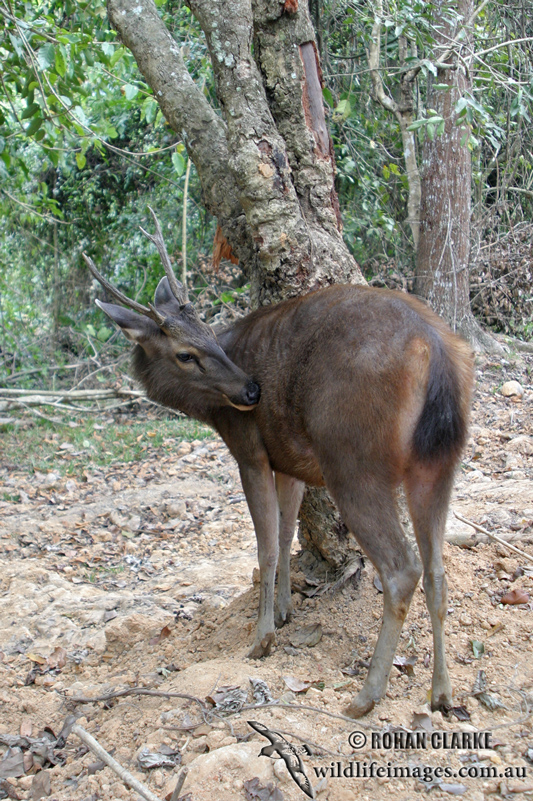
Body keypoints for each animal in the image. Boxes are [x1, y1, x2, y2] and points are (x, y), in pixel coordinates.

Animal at [85, 209, 472, 716]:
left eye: (206, 340)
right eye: (187, 351)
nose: (252, 390)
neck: (210, 412)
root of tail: (436, 350)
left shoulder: (249, 450)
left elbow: (266, 546)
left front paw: (262, 637)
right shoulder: (290, 460)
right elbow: (288, 532)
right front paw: (287, 610)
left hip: (352, 458)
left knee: (402, 569)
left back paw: (366, 696)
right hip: (439, 461)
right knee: (438, 572)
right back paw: (442, 693)